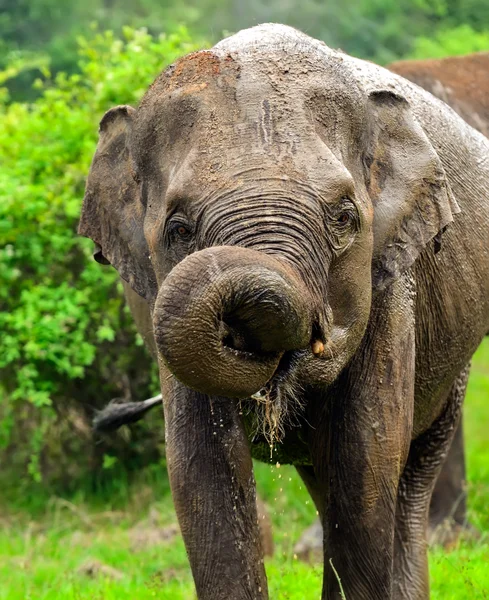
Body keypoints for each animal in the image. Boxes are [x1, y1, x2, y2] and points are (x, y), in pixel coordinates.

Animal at [78, 23, 488, 600]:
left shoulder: (391, 285)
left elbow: (365, 459)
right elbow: (202, 470)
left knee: (411, 471)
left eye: (344, 218)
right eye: (178, 230)